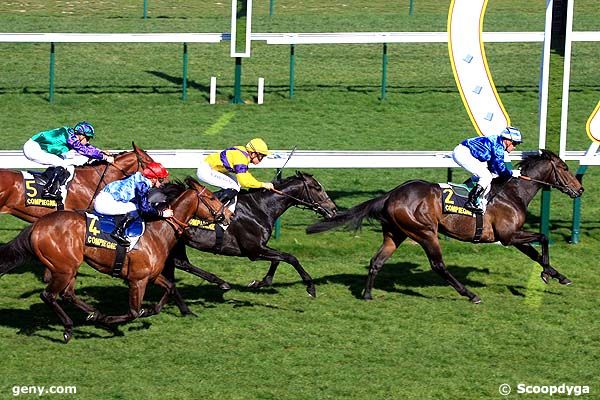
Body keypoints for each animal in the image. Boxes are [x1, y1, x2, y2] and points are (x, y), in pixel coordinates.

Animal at [0, 178, 225, 344]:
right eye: (212, 197)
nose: (228, 216)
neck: (157, 231)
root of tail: (36, 226)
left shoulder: (150, 276)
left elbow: (168, 288)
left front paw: (154, 310)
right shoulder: (137, 280)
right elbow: (134, 312)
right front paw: (112, 320)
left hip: (70, 267)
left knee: (67, 294)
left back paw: (94, 314)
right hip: (64, 268)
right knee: (48, 295)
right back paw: (70, 328)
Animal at [162, 170, 338, 298]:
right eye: (317, 187)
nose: (334, 209)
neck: (260, 207)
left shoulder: (260, 248)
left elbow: (277, 260)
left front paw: (260, 282)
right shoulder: (253, 250)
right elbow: (290, 257)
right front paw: (310, 287)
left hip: (178, 240)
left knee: (182, 263)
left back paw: (220, 282)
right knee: (181, 263)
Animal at [308, 151, 584, 304]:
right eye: (565, 168)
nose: (580, 189)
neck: (512, 192)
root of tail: (391, 195)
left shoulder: (511, 237)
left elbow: (536, 251)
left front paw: (556, 275)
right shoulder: (507, 236)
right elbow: (543, 237)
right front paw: (548, 273)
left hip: (396, 234)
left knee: (377, 260)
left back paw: (367, 294)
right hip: (425, 232)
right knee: (438, 265)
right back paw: (470, 294)